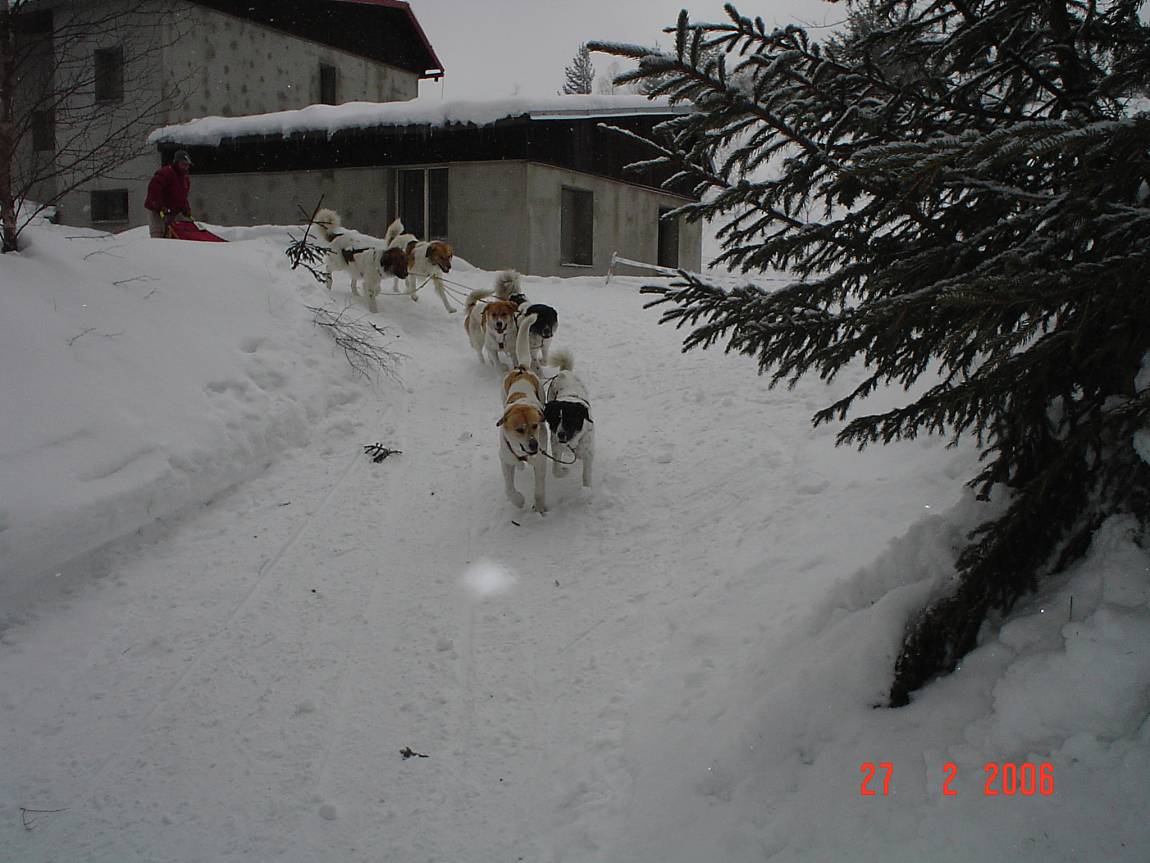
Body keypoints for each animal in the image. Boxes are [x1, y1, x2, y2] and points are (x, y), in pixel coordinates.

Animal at [496, 363, 545, 513]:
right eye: (519, 429)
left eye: (535, 425)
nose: (534, 445)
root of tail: (521, 369)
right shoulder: (505, 458)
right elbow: (509, 489)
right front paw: (518, 501)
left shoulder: (540, 463)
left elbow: (539, 490)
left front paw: (539, 508)